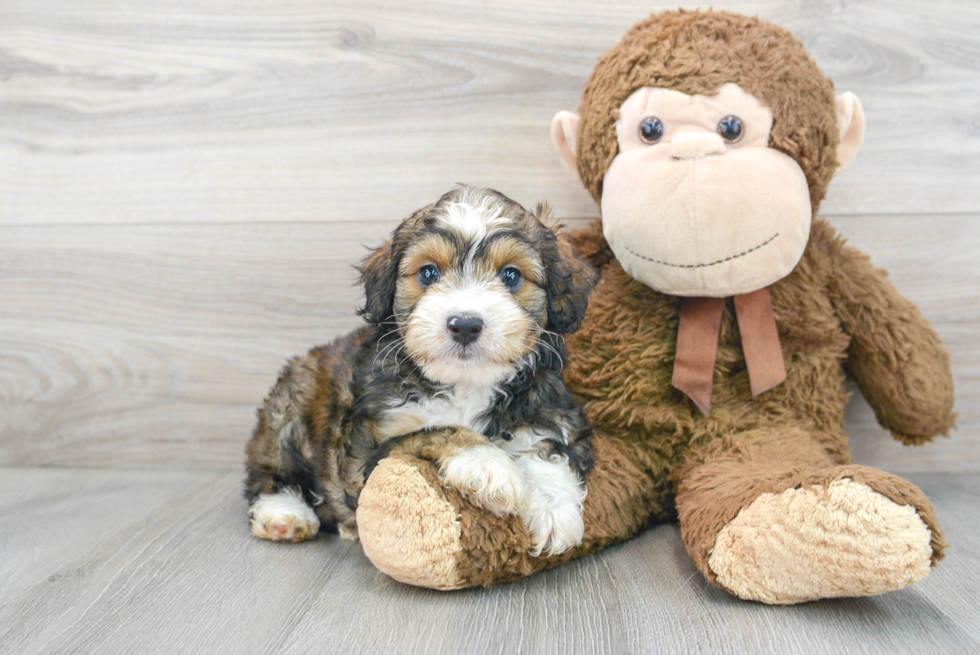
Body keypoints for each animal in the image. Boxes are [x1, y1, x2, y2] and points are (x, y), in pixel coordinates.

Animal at [245, 186, 596, 560]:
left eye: (511, 276)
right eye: (428, 274)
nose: (466, 325)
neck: (465, 383)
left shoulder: (548, 408)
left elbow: (547, 446)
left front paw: (553, 509)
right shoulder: (369, 452)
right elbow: (439, 430)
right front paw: (490, 466)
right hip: (291, 405)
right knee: (269, 471)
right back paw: (285, 514)